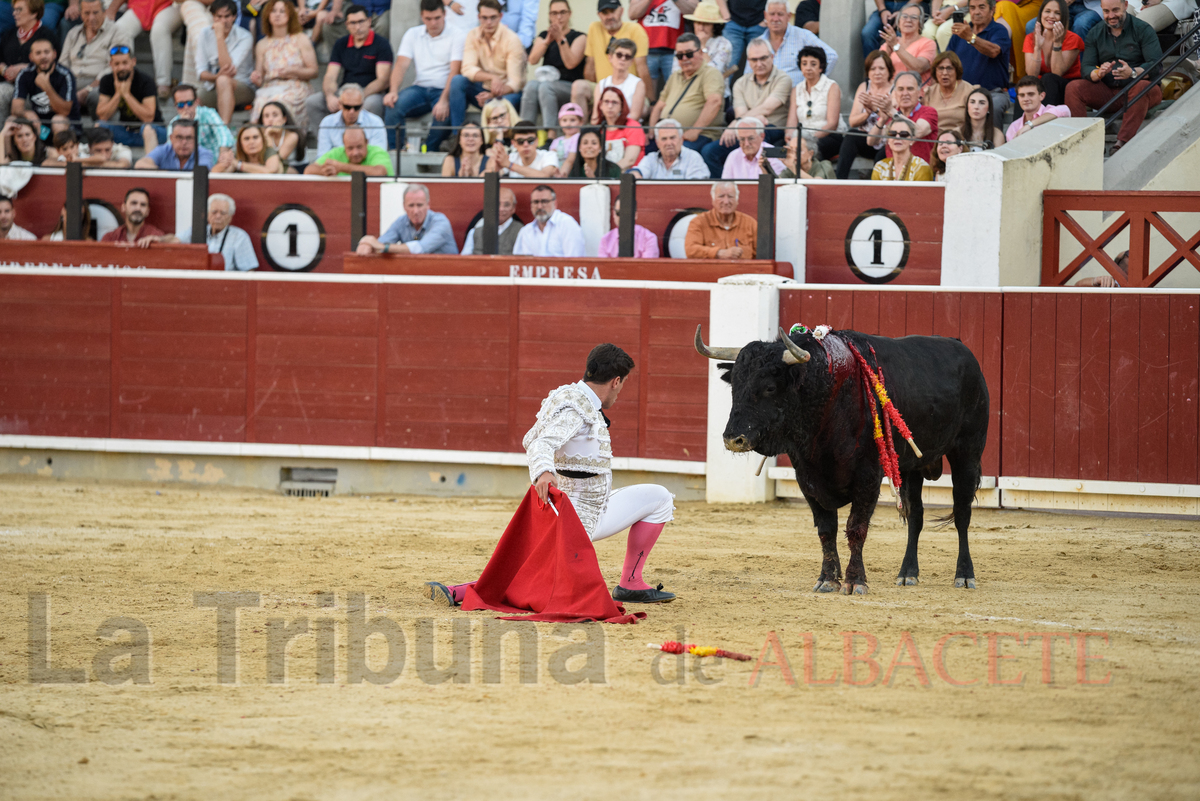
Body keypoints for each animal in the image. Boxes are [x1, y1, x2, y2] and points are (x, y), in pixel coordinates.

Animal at [700, 326, 988, 594]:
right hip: (911, 467)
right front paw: (827, 579)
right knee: (916, 515)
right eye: (735, 387)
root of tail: (964, 350)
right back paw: (907, 573)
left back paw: (964, 576)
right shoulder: (807, 478)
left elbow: (856, 528)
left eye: (770, 387)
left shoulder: (868, 477)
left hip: (967, 452)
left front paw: (855, 580)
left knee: (962, 513)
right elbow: (827, 530)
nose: (733, 439)